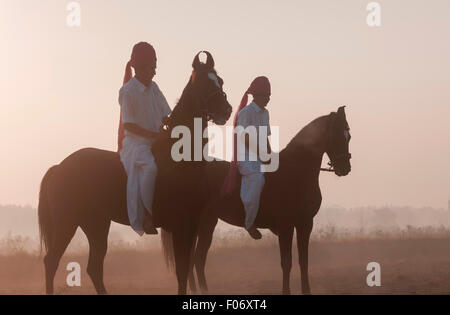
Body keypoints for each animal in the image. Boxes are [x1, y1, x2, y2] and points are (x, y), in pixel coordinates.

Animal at [38, 51, 232, 296]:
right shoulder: (180, 226)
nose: (226, 110)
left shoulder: (192, 225)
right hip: (67, 222)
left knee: (94, 267)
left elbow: (185, 270)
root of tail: (60, 166)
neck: (181, 161)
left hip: (96, 225)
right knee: (52, 261)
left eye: (220, 81)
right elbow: (182, 271)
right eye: (203, 83)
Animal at [163, 107, 354, 296]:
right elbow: (286, 262)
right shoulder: (286, 225)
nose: (345, 168)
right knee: (197, 259)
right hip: (204, 224)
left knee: (193, 260)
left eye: (349, 136)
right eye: (336, 135)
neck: (297, 172)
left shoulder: (305, 224)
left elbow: (304, 261)